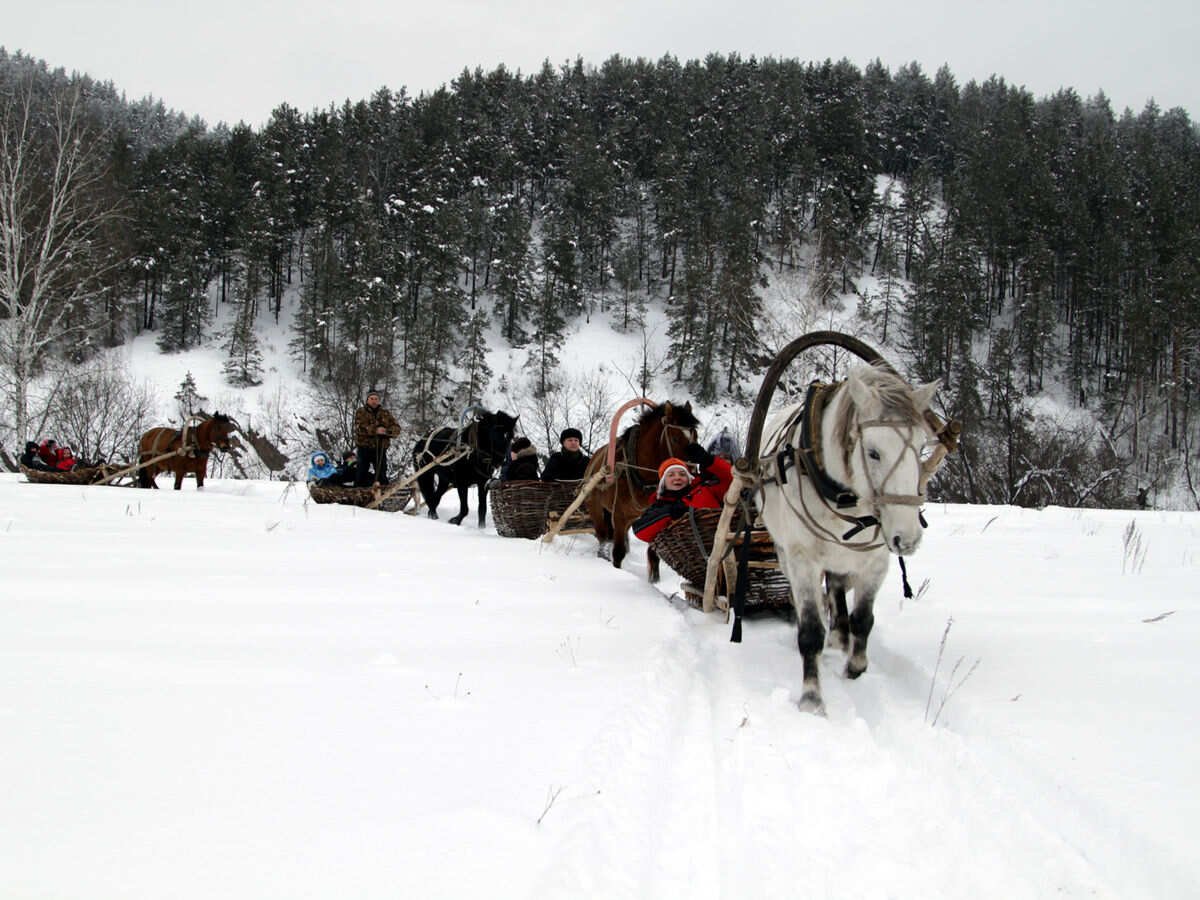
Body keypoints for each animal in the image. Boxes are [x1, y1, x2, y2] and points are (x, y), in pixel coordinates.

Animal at [583, 400, 700, 585]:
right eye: (675, 439)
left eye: (695, 437)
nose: (690, 475)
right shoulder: (619, 516)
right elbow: (618, 552)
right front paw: (617, 572)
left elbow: (654, 555)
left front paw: (654, 581)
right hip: (595, 508)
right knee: (602, 535)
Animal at [753, 367, 940, 720]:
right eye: (874, 452)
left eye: (921, 447)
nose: (907, 538)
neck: (845, 497)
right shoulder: (802, 560)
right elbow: (811, 631)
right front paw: (812, 699)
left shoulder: (875, 562)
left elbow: (863, 620)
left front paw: (855, 667)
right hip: (785, 554)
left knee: (838, 587)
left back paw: (840, 635)